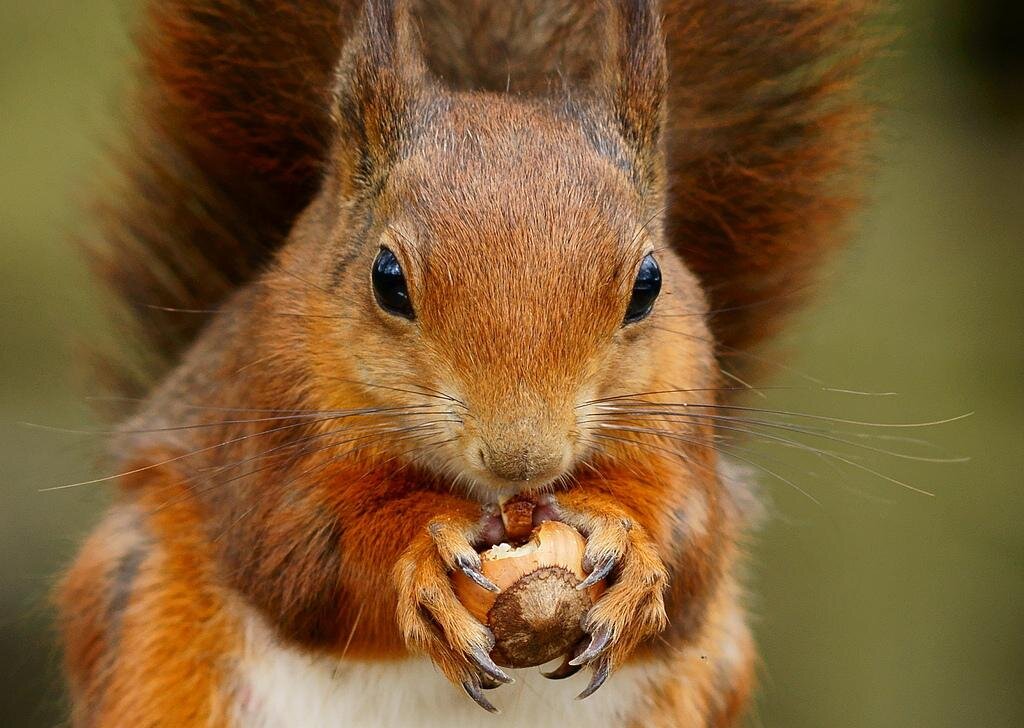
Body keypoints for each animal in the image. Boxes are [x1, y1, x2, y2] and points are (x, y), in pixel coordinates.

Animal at [56, 1, 868, 728]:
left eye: (648, 284)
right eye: (387, 278)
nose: (522, 460)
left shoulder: (684, 413)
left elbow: (690, 542)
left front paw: (631, 548)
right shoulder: (262, 418)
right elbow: (302, 558)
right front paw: (425, 553)